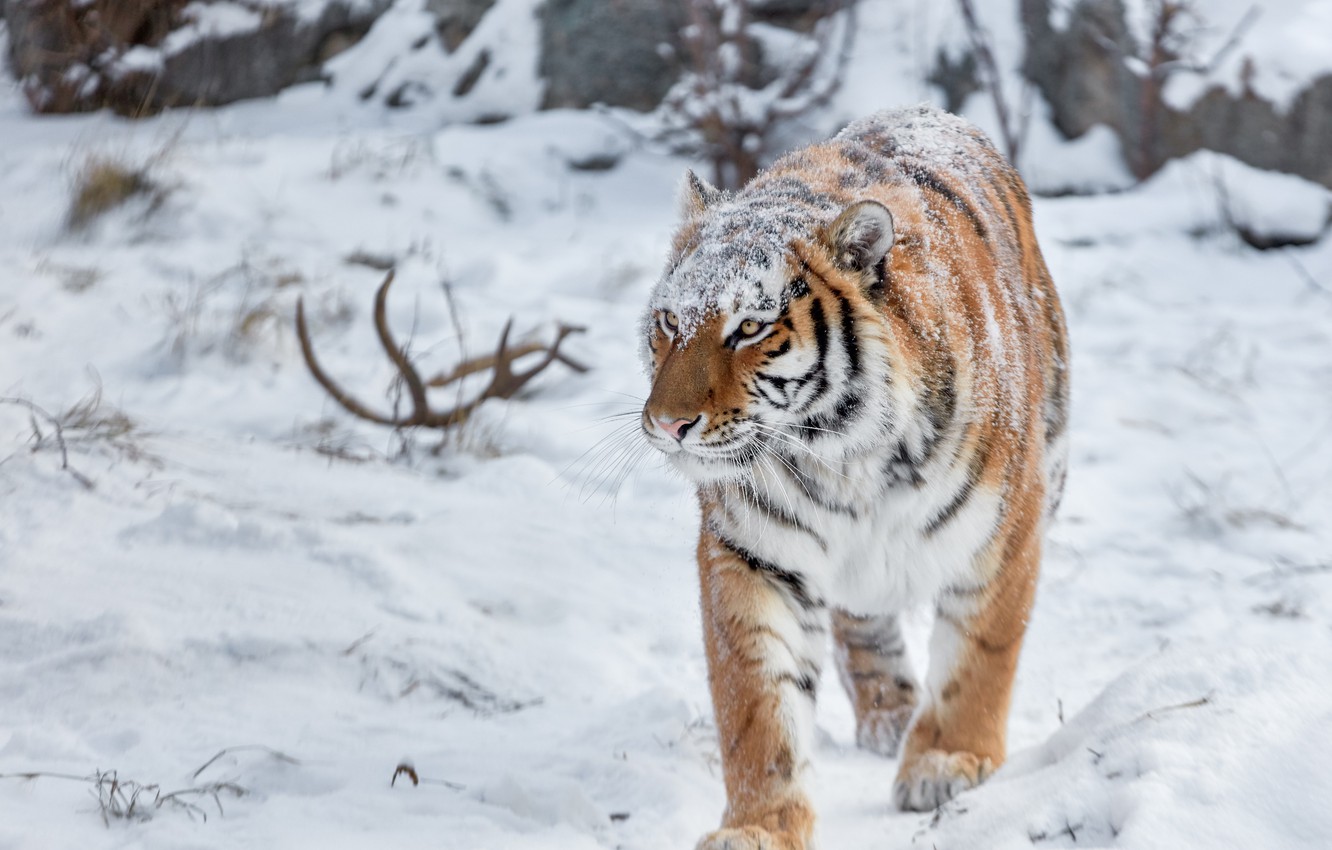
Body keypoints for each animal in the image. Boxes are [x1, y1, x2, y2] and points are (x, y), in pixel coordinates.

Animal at [639, 104, 1069, 850]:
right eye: (669, 321)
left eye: (748, 328)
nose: (668, 424)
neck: (841, 454)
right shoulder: (753, 554)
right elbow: (756, 704)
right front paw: (760, 826)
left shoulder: (1002, 531)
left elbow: (979, 656)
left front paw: (947, 762)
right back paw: (888, 712)